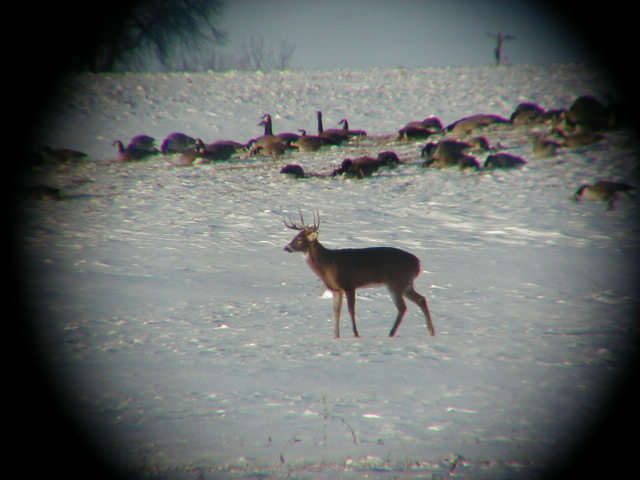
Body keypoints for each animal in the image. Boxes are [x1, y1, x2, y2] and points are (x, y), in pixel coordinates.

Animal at [283, 211, 435, 338]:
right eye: (294, 237)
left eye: (299, 239)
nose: (286, 247)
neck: (328, 264)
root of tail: (418, 263)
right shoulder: (336, 290)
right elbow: (336, 311)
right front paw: (336, 336)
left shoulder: (349, 285)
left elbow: (351, 310)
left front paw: (356, 334)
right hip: (406, 284)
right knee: (421, 299)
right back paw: (431, 332)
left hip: (396, 283)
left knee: (402, 307)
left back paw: (391, 333)